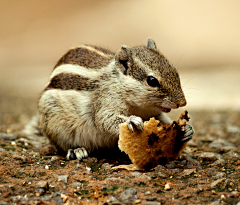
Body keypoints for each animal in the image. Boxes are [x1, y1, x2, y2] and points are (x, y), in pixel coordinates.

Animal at [24, 38, 193, 160]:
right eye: (152, 81)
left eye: (174, 70)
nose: (182, 102)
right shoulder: (105, 100)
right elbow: (104, 119)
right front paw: (131, 121)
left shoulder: (154, 113)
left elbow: (162, 120)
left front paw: (186, 130)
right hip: (55, 125)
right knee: (61, 147)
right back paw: (76, 150)